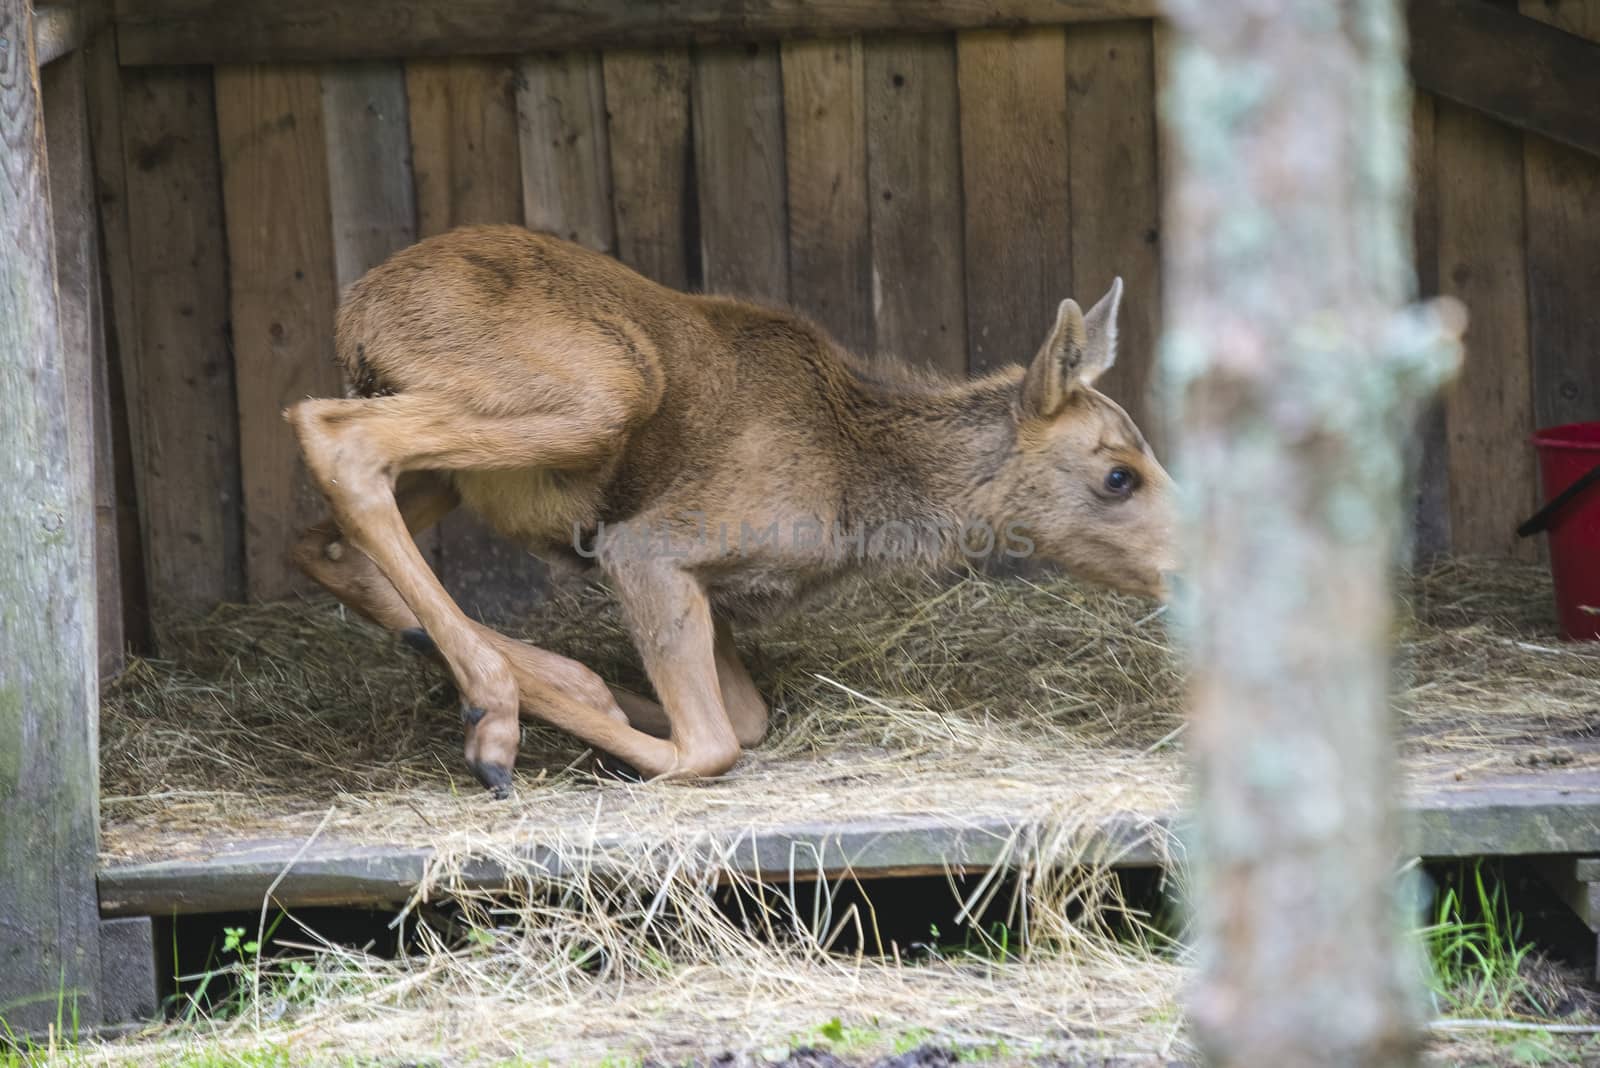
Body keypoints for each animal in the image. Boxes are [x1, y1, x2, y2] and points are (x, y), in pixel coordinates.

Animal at [288, 225, 1177, 793]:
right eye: (1119, 475)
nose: (1187, 567)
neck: (864, 490)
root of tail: (356, 312)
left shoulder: (707, 585)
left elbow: (745, 719)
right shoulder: (649, 545)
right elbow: (711, 746)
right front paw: (575, 710)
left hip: (452, 462)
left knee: (324, 540)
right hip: (598, 394)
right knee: (332, 434)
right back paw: (497, 714)